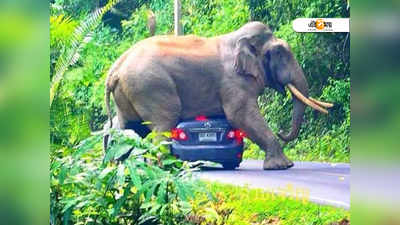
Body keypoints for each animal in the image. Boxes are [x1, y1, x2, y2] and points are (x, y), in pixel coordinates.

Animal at [103, 22, 332, 171]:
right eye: (280, 53)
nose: (282, 132)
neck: (238, 38)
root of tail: (115, 69)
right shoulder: (233, 81)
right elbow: (240, 116)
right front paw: (282, 167)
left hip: (130, 93)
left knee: (129, 127)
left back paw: (120, 166)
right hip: (150, 87)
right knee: (163, 124)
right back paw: (167, 169)